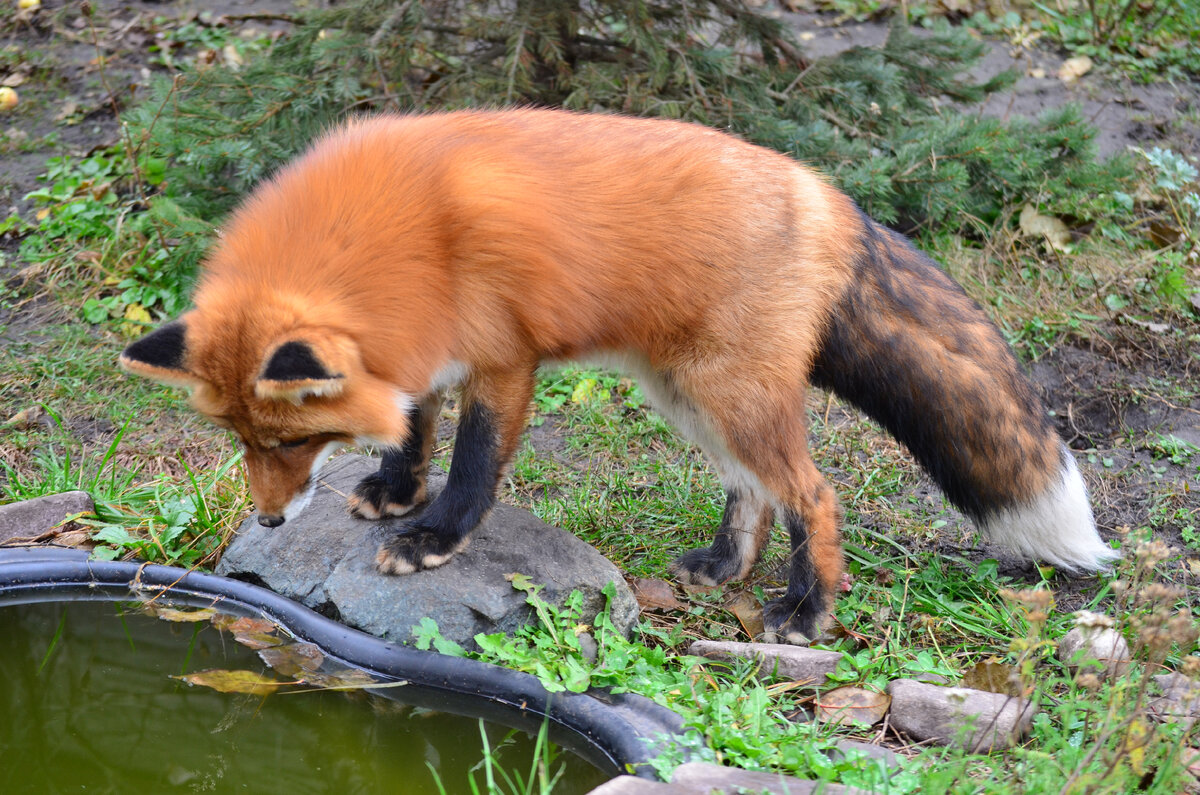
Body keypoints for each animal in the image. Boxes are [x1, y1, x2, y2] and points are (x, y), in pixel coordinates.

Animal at [119, 110, 1113, 648]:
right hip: (687, 393)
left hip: (730, 396)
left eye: (296, 437)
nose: (269, 522)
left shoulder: (503, 359)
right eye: (239, 440)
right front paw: (396, 492)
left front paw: (433, 537)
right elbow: (411, 428)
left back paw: (807, 611)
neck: (402, 237)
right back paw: (724, 566)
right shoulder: (422, 352)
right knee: (753, 492)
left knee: (816, 494)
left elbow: (474, 464)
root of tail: (827, 196)